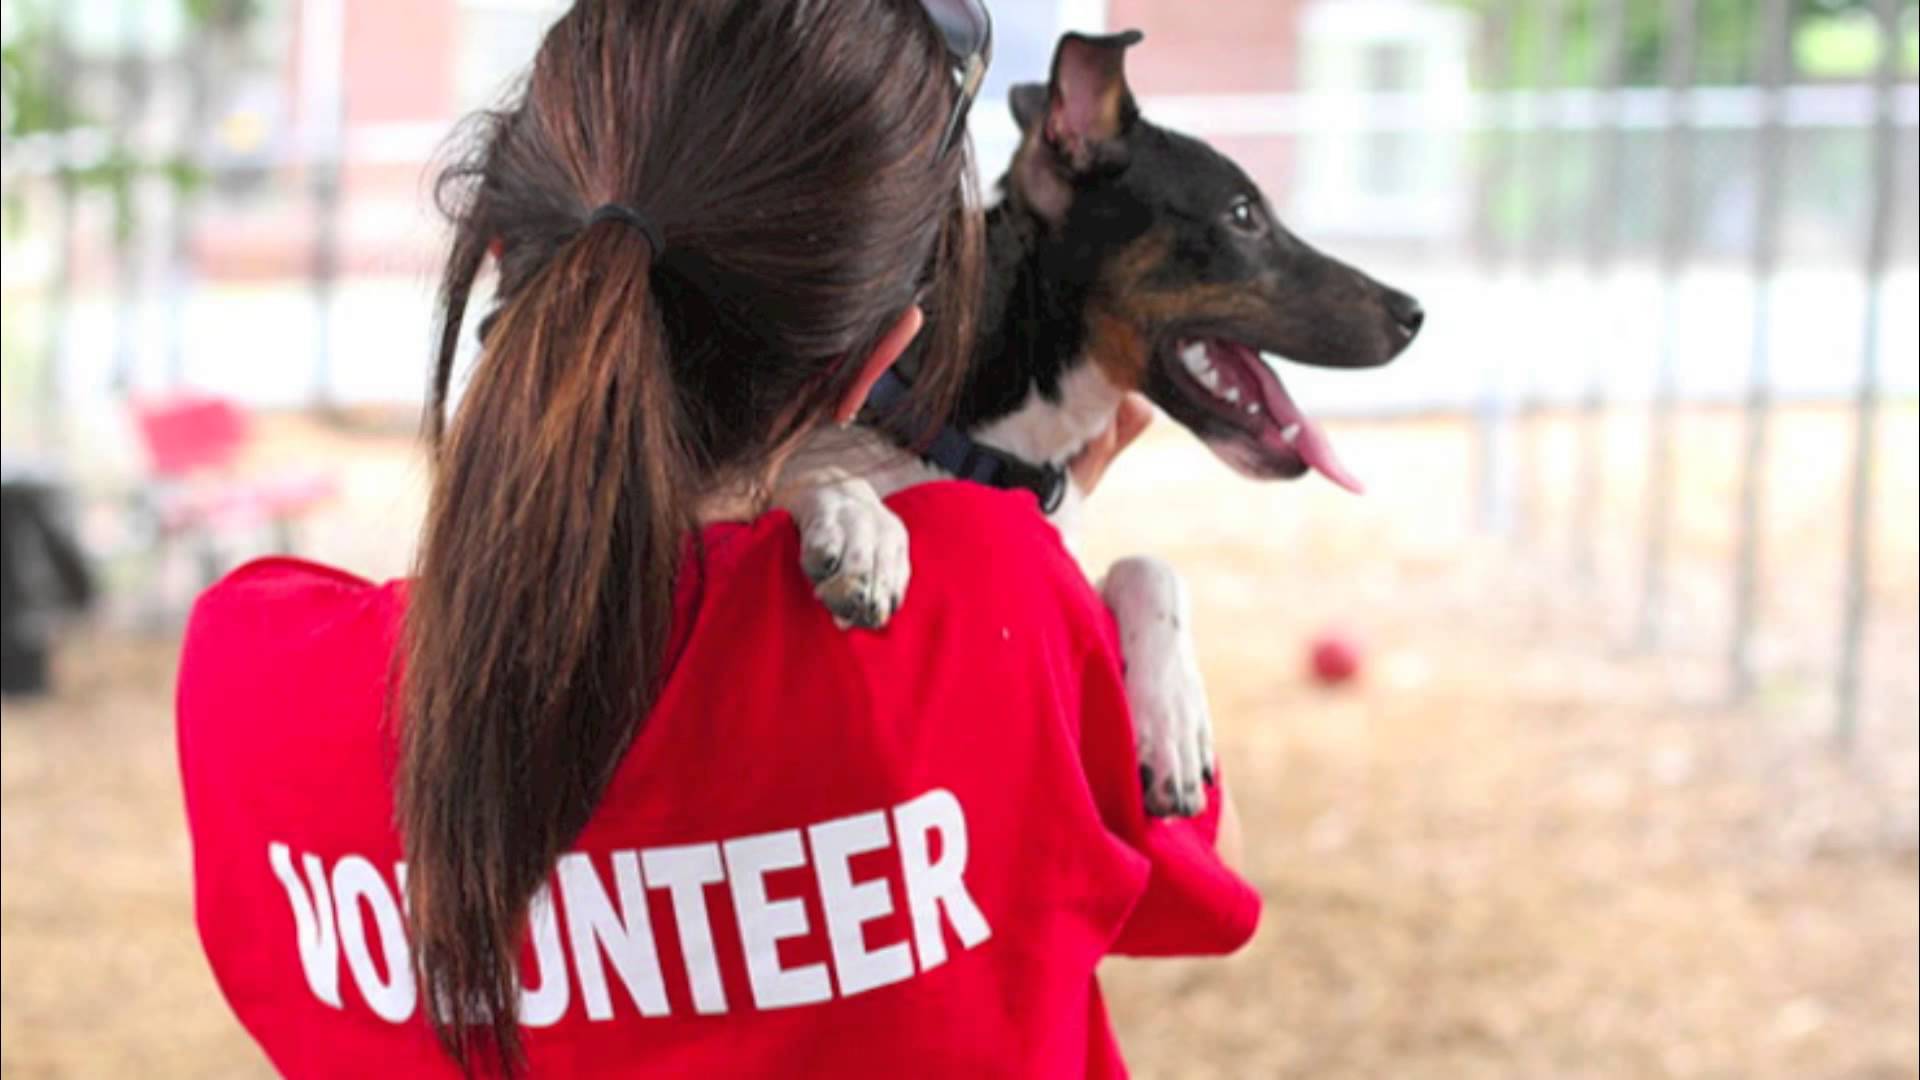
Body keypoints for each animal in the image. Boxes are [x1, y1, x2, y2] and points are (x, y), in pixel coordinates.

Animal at [779, 29, 1428, 810]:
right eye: (1242, 214)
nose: (1413, 313)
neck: (1001, 441)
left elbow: (1150, 567)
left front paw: (1174, 722)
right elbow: (820, 467)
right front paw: (864, 531)